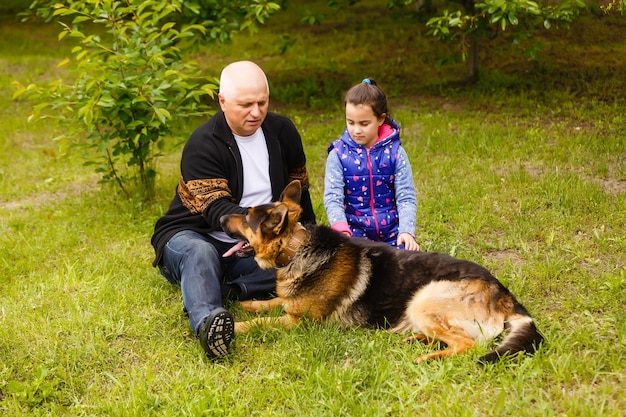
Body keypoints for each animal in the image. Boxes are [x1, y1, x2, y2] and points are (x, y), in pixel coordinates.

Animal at [219, 180, 540, 362]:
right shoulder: (290, 307)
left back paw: (428, 357)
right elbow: (271, 302)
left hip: (424, 300)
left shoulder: (300, 323)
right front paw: (247, 303)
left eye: (245, 218)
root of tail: (505, 296)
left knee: (468, 344)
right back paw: (416, 340)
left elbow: (263, 322)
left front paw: (237, 326)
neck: (297, 248)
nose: (220, 217)